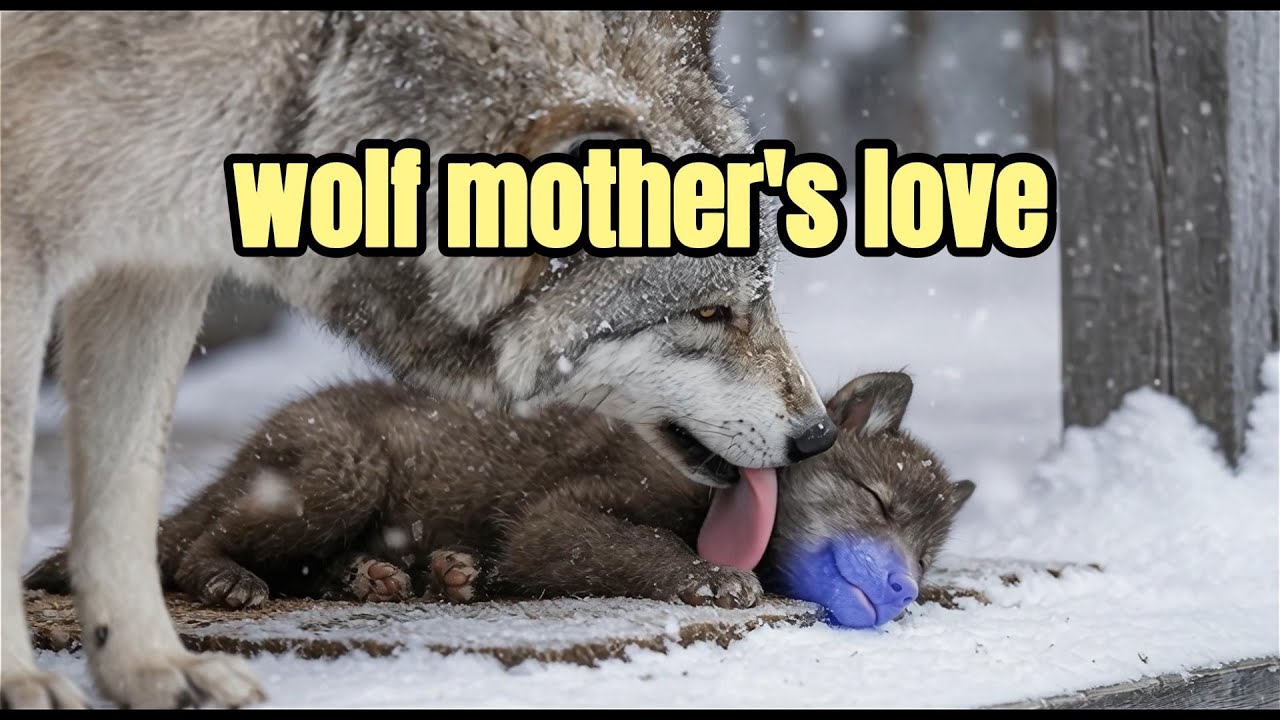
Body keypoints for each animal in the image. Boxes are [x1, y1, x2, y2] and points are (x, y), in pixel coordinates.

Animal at [1, 11, 839, 709]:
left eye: (765, 296)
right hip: (339, 473)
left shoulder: (155, 250)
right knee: (197, 543)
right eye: (709, 312)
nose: (818, 434)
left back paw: (396, 574)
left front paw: (149, 670)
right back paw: (245, 579)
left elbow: (122, 492)